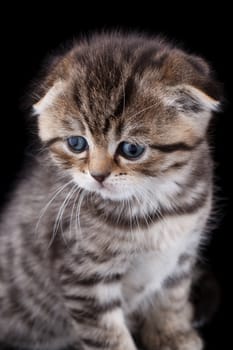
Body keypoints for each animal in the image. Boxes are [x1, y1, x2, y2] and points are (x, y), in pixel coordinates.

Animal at [0, 32, 221, 350]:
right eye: (76, 143)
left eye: (131, 149)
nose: (98, 175)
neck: (155, 204)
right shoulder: (83, 277)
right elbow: (108, 336)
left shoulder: (183, 254)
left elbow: (172, 297)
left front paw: (173, 334)